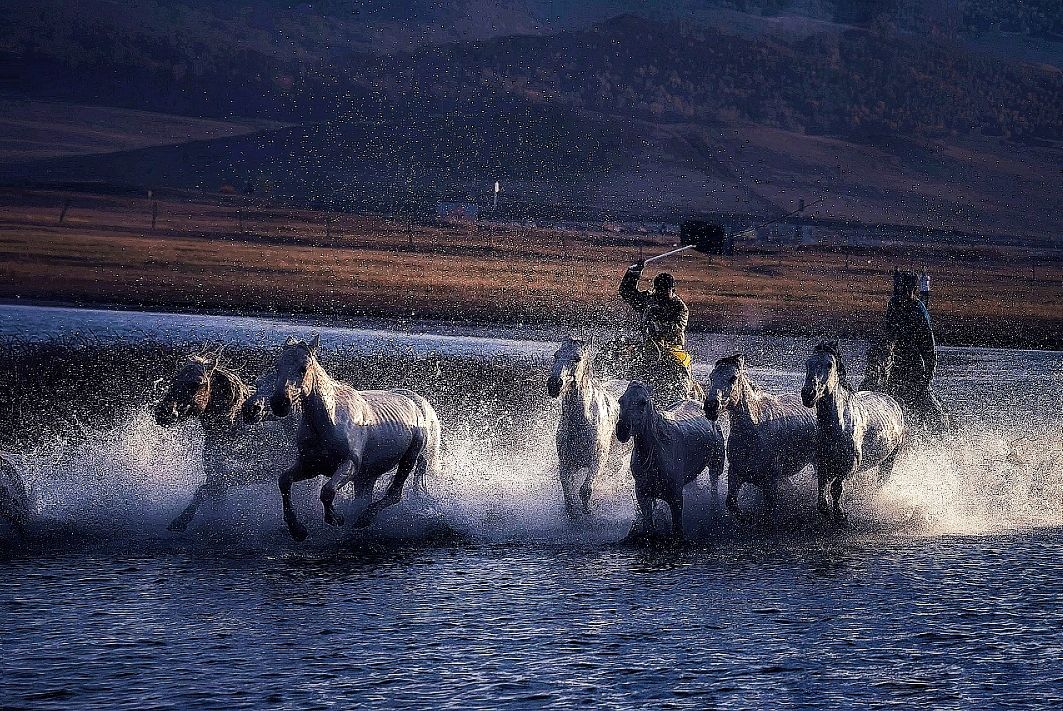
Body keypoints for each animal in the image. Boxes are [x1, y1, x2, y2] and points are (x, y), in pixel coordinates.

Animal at [270, 335, 444, 539]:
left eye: (303, 368)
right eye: (277, 366)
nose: (279, 403)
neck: (329, 421)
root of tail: (419, 403)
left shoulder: (350, 464)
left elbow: (327, 491)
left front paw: (335, 518)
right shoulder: (310, 465)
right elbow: (284, 481)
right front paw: (297, 529)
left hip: (410, 457)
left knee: (394, 494)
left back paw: (365, 518)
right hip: (367, 476)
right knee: (366, 497)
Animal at [548, 337, 620, 516]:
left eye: (577, 358)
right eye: (556, 355)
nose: (554, 384)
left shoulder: (598, 461)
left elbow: (585, 490)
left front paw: (588, 511)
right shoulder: (566, 463)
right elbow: (569, 492)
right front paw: (572, 512)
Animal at [612, 382, 727, 537]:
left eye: (643, 402)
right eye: (620, 400)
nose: (622, 430)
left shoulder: (676, 499)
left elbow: (677, 529)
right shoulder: (643, 495)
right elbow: (649, 526)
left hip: (715, 465)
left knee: (714, 487)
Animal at [705, 352, 812, 520]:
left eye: (733, 377)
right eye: (711, 377)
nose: (710, 406)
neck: (754, 432)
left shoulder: (771, 481)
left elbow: (768, 509)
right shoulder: (735, 473)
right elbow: (732, 503)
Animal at [799, 340, 905, 518]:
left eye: (829, 364)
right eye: (808, 363)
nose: (808, 394)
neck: (838, 427)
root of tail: (891, 400)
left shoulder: (849, 466)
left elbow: (836, 488)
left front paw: (840, 513)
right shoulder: (822, 463)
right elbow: (823, 486)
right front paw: (825, 508)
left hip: (890, 457)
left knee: (882, 479)